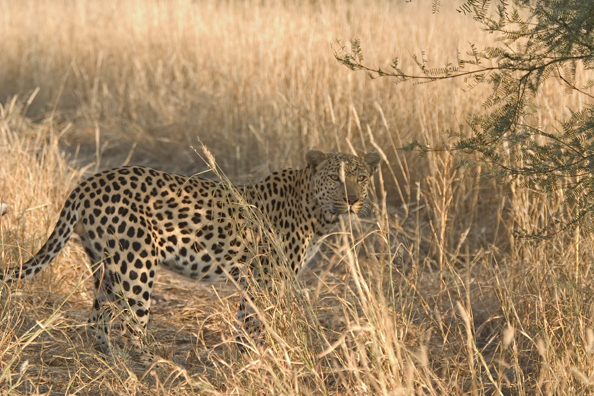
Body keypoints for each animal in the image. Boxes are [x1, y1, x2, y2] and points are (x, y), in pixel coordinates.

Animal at [0, 149, 380, 358]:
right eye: (335, 177)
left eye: (362, 177)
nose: (353, 199)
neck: (317, 211)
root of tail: (87, 183)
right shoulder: (268, 277)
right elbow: (262, 321)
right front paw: (265, 355)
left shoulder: (254, 280)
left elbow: (246, 320)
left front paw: (245, 356)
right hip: (137, 263)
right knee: (132, 325)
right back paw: (151, 365)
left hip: (106, 266)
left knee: (97, 318)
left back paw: (111, 358)